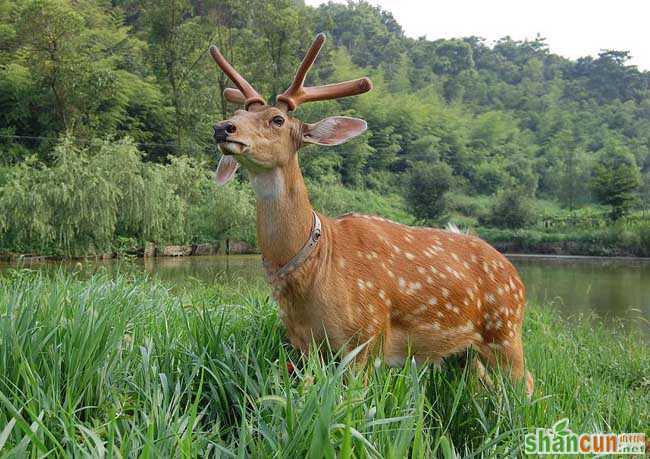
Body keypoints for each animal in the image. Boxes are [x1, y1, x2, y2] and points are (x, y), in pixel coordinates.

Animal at [208, 34, 532, 398]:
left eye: (277, 119)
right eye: (237, 111)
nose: (223, 127)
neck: (316, 264)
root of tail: (514, 273)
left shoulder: (367, 335)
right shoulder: (303, 345)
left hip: (505, 328)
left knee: (526, 383)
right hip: (464, 352)